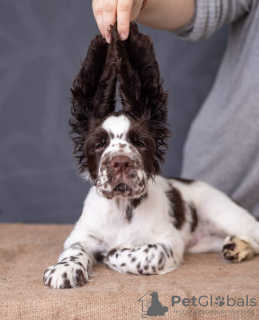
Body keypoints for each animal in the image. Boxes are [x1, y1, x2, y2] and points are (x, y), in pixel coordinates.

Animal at [43, 21, 259, 288]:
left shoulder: (169, 240)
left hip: (220, 211)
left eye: (140, 143)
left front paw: (112, 253)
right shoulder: (81, 233)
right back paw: (236, 247)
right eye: (99, 144)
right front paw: (65, 268)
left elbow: (144, 254)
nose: (120, 163)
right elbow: (74, 249)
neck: (122, 207)